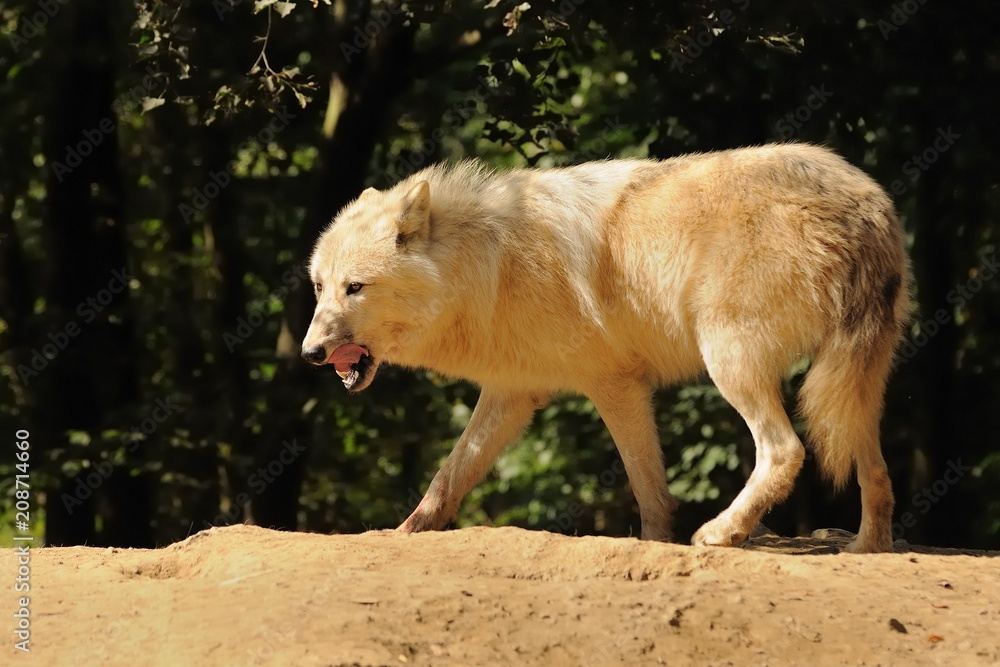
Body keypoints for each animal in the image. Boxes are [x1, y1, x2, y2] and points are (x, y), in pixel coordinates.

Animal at [301, 144, 911, 553]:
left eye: (355, 288)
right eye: (319, 286)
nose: (309, 353)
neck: (490, 268)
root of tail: (864, 202)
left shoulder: (614, 383)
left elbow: (647, 487)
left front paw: (657, 543)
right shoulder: (512, 393)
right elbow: (447, 479)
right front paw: (402, 533)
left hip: (732, 363)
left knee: (785, 450)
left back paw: (722, 532)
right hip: (854, 384)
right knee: (877, 474)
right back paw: (868, 548)